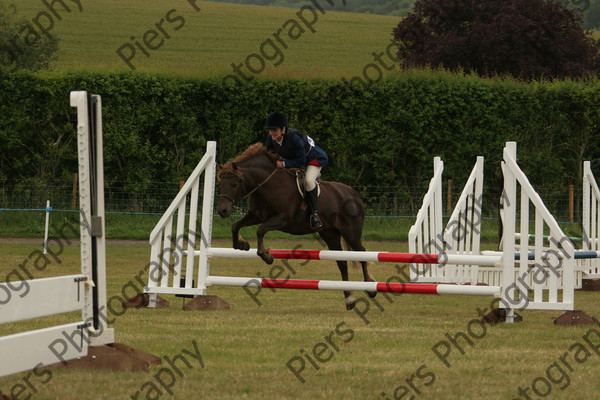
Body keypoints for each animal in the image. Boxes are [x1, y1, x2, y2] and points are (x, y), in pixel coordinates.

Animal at [216, 142, 376, 310]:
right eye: (221, 184)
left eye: (234, 184)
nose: (222, 211)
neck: (268, 186)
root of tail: (353, 193)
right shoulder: (256, 216)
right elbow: (235, 226)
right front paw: (242, 245)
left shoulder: (283, 219)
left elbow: (260, 230)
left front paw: (267, 256)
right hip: (330, 234)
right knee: (342, 262)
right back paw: (349, 299)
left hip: (351, 232)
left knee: (362, 255)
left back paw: (370, 289)